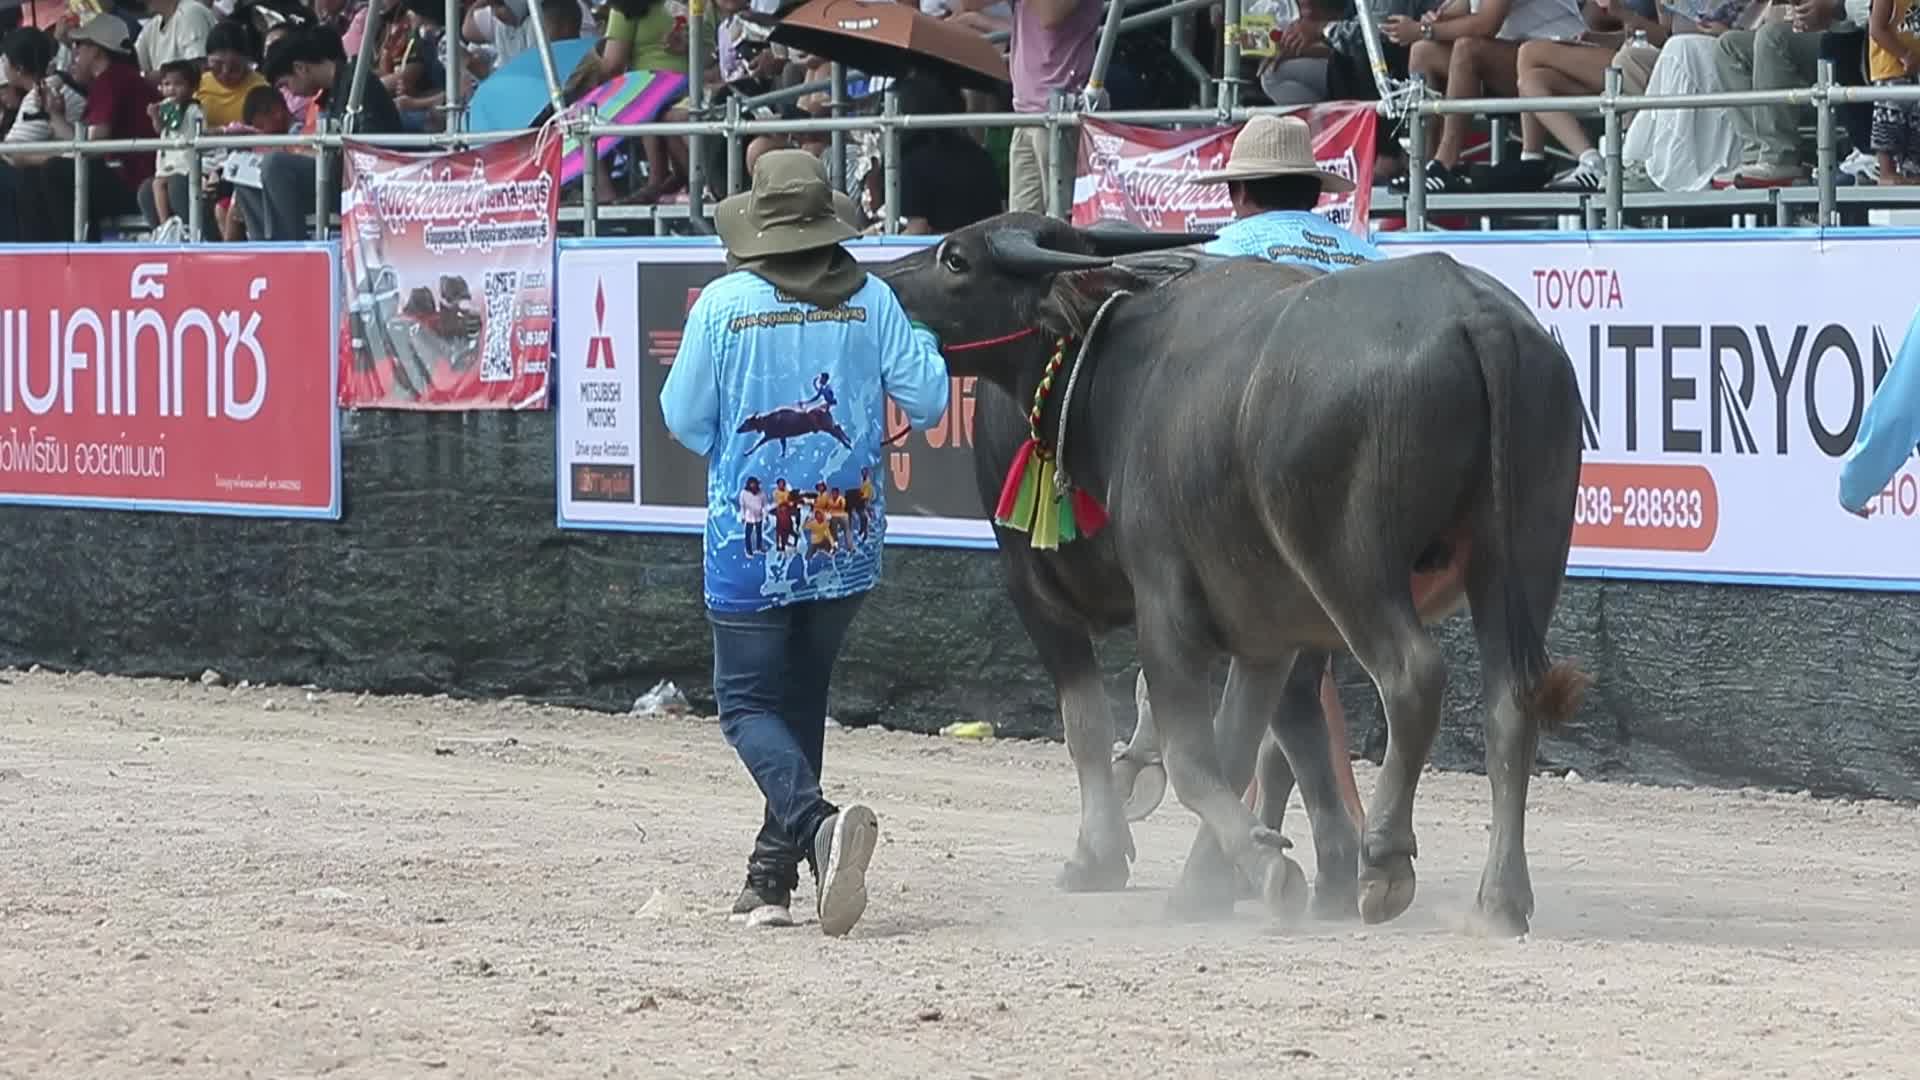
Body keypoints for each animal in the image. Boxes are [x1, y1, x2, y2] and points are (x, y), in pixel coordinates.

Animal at [879, 213, 1590, 936]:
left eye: (955, 258)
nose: (877, 281)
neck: (1114, 371)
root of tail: (1475, 313)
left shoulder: (1147, 601)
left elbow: (1168, 749)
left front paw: (1230, 866)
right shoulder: (1265, 630)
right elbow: (1246, 741)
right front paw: (1217, 878)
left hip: (1350, 561)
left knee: (1411, 675)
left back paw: (1384, 860)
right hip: (1520, 553)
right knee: (1510, 702)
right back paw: (1498, 899)